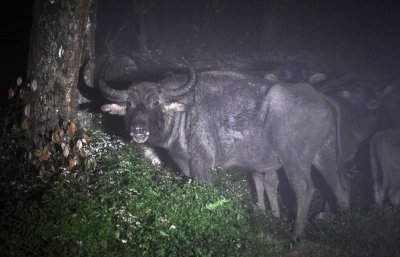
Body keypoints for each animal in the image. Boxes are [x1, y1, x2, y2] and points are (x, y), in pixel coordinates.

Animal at [98, 58, 348, 238]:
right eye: (129, 104)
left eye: (156, 103)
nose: (138, 128)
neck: (183, 115)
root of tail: (326, 101)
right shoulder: (185, 163)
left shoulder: (202, 161)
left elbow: (205, 190)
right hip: (325, 153)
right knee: (340, 186)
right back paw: (345, 225)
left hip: (294, 159)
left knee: (305, 189)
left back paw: (295, 235)